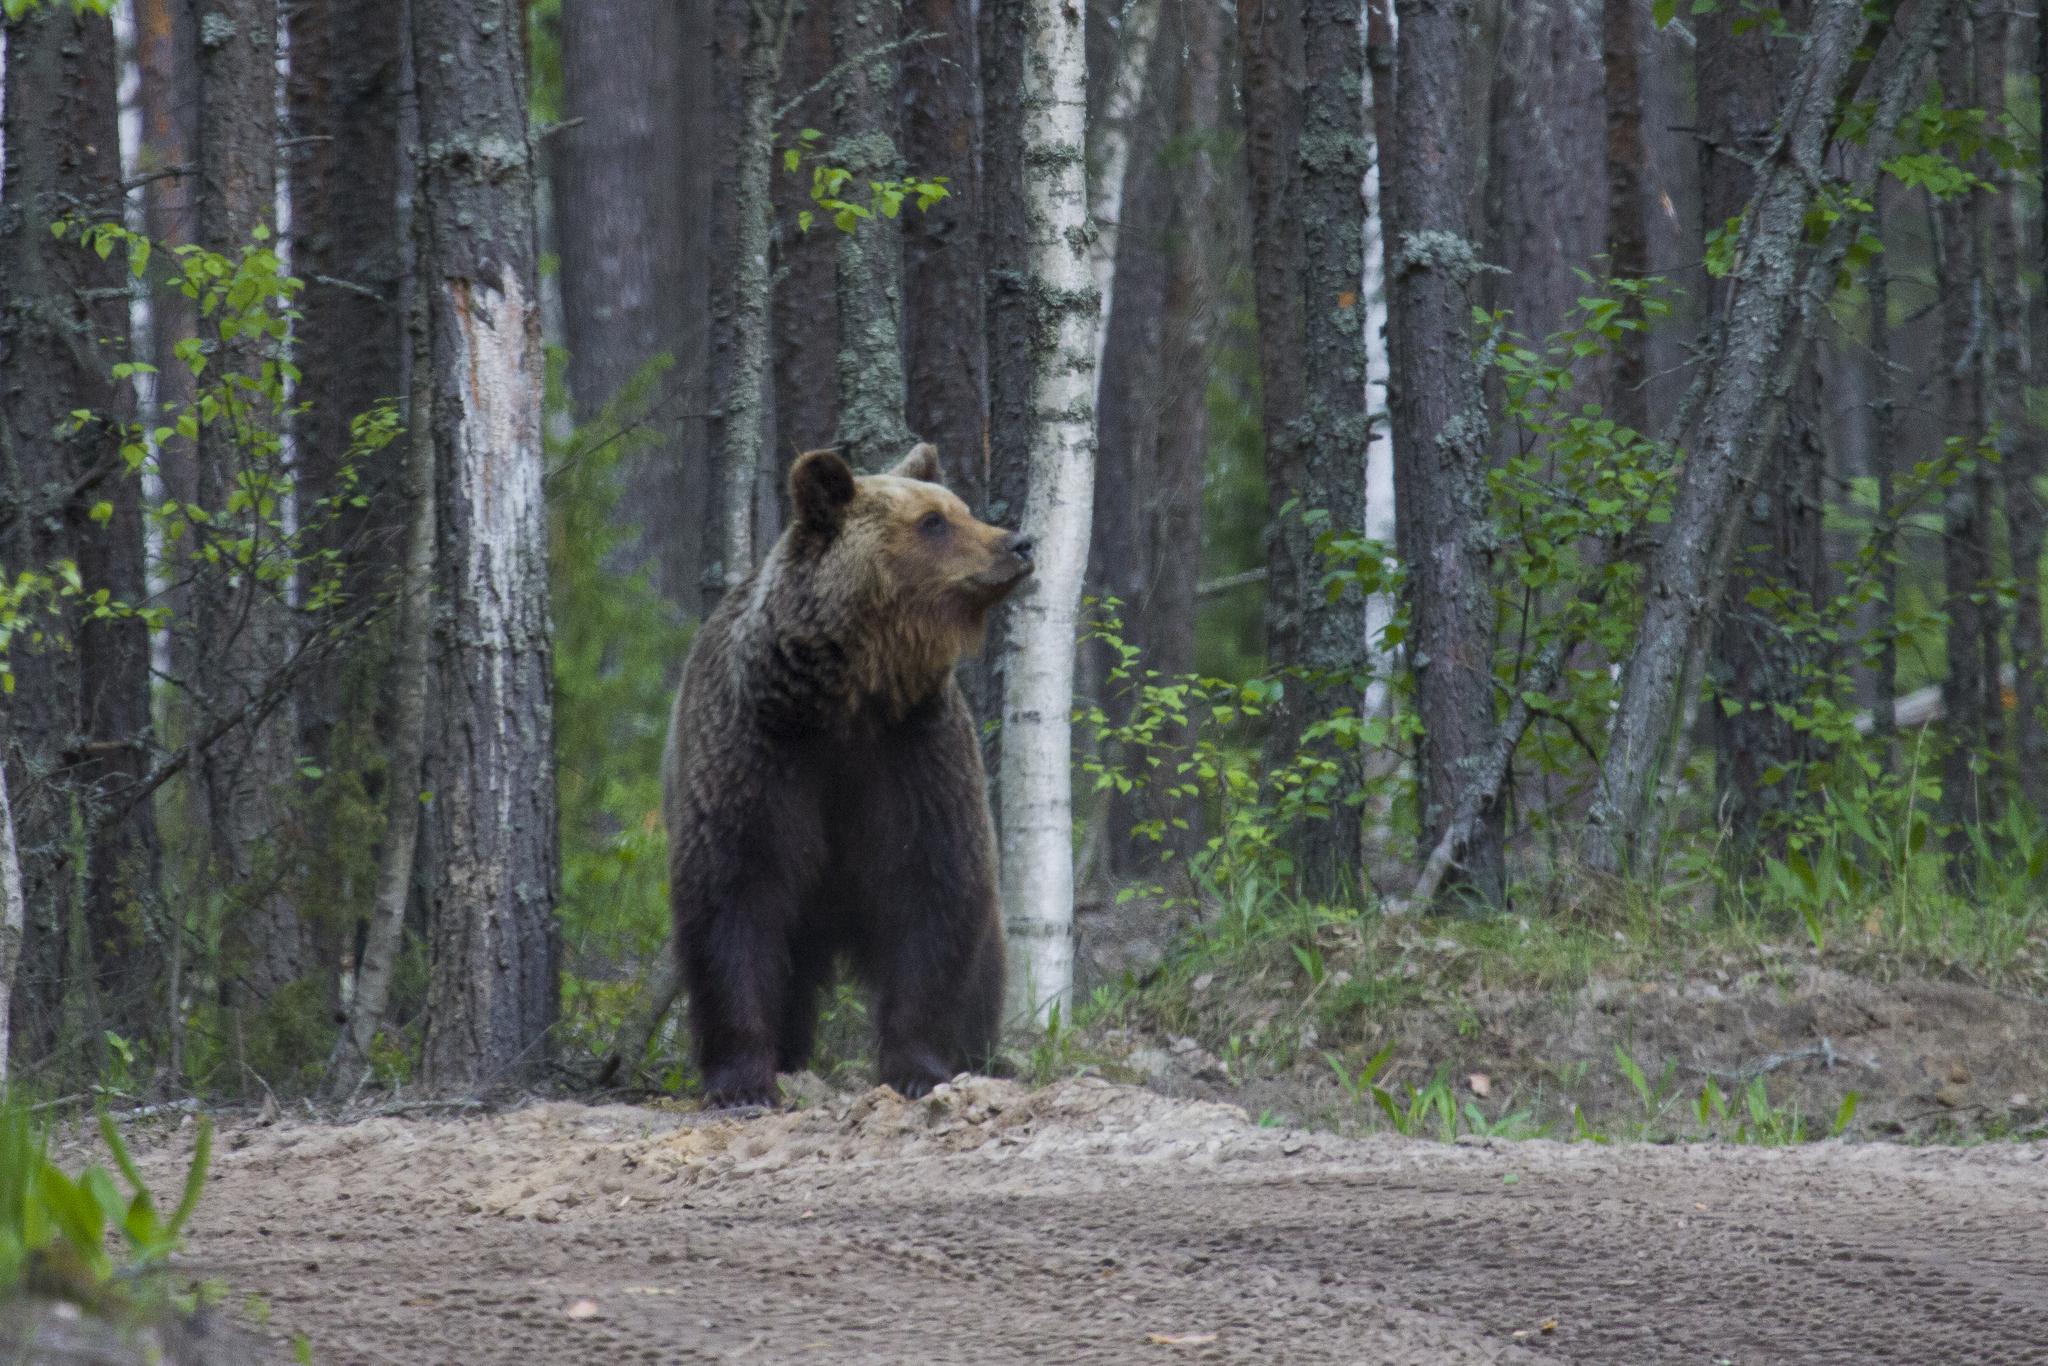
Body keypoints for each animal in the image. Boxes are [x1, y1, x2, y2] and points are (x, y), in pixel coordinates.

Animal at [663, 441, 1035, 1107]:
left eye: (961, 508)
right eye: (934, 522)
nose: (1019, 543)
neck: (849, 696)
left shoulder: (911, 752)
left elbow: (932, 890)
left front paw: (917, 1066)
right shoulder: (757, 754)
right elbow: (734, 899)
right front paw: (743, 1081)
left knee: (986, 962)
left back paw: (981, 1054)